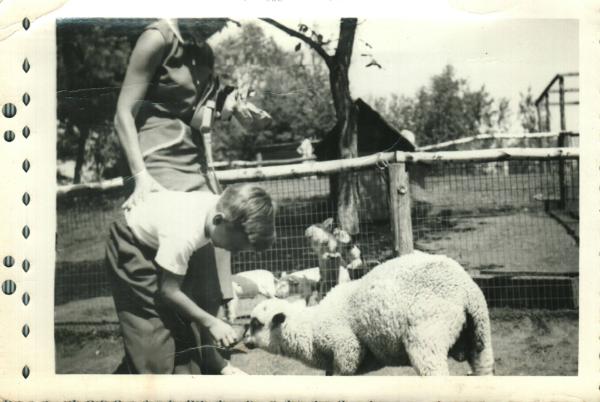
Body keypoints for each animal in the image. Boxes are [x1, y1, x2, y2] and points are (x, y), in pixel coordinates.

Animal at [241, 251, 494, 376]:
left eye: (257, 323)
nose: (244, 341)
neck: (310, 329)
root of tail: (466, 289)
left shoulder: (347, 351)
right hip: (479, 336)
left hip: (427, 337)